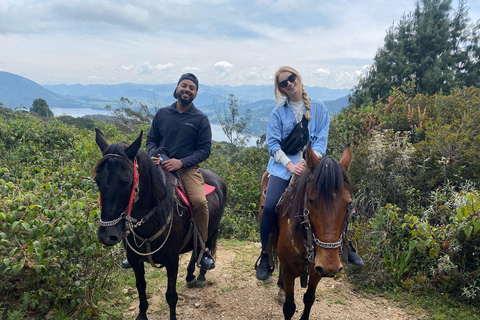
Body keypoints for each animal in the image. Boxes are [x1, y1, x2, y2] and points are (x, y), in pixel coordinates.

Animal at [94, 129, 228, 320]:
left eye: (127, 181)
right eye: (97, 180)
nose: (106, 235)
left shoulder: (172, 260)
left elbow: (171, 296)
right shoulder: (135, 260)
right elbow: (141, 288)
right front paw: (142, 315)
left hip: (212, 228)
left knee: (205, 245)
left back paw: (202, 273)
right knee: (196, 247)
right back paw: (190, 275)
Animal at [260, 143, 350, 320]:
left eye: (349, 203)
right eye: (311, 201)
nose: (331, 266)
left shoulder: (317, 271)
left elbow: (309, 298)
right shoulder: (289, 271)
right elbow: (289, 307)